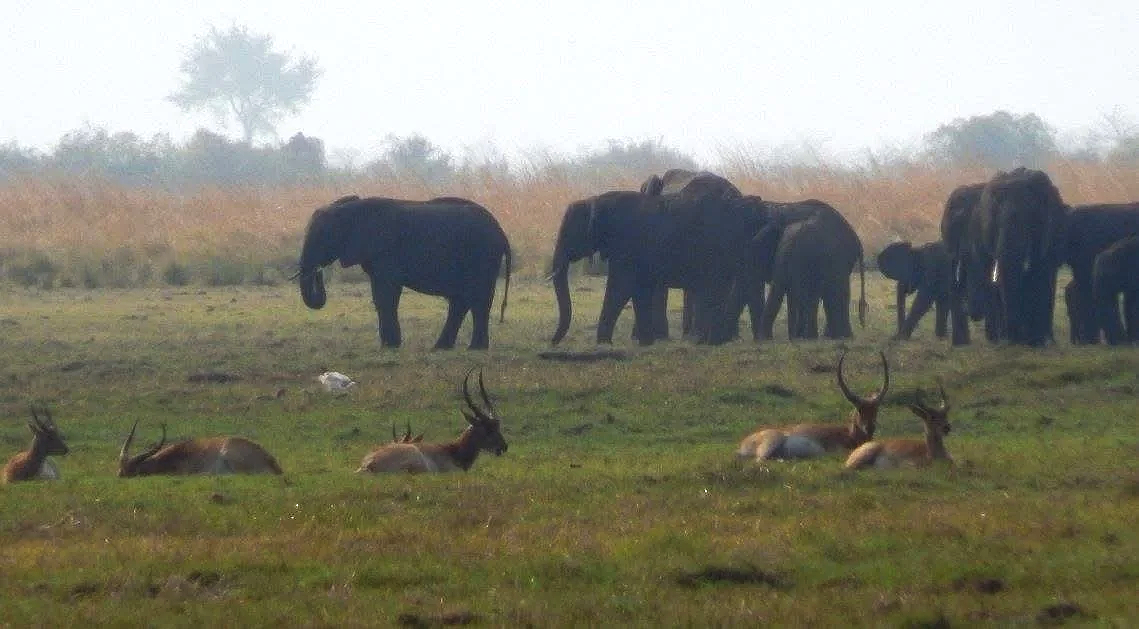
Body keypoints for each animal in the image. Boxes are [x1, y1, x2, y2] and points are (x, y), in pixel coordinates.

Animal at [296, 195, 511, 350]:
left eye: (323, 236)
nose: (318, 272)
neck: (351, 208)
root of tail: (501, 232)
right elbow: (380, 295)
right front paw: (388, 345)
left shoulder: (385, 251)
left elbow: (386, 294)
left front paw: (390, 346)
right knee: (461, 301)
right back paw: (441, 348)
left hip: (483, 255)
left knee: (478, 299)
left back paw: (475, 349)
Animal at [549, 173, 756, 346]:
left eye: (568, 233)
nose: (553, 342)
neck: (596, 200)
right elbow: (640, 288)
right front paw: (645, 343)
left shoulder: (626, 244)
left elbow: (621, 287)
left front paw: (604, 344)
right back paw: (713, 340)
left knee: (712, 288)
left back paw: (704, 340)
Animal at [737, 350, 889, 461]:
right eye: (859, 410)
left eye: (876, 409)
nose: (870, 427)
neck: (848, 434)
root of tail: (743, 443)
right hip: (772, 441)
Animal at [964, 168, 1067, 346]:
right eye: (995, 223)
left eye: (1031, 220)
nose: (1012, 339)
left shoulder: (1050, 232)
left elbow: (1041, 274)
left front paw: (1038, 342)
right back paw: (998, 338)